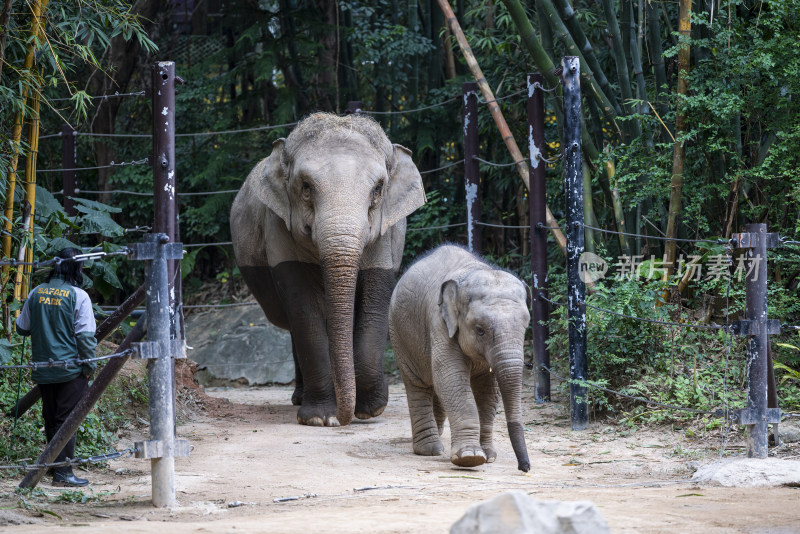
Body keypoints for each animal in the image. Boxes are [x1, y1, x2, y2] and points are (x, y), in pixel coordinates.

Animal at [230, 113, 424, 428]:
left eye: (378, 189)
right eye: (306, 186)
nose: (344, 419)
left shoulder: (389, 234)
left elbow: (373, 303)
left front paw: (369, 410)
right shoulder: (278, 226)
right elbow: (304, 310)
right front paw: (321, 418)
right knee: (293, 324)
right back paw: (300, 398)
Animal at [390, 244, 532, 474]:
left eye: (526, 327)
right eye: (480, 330)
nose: (524, 467)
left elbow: (488, 390)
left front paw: (489, 456)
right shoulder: (439, 322)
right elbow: (451, 377)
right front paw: (470, 458)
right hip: (399, 333)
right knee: (417, 384)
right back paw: (430, 450)